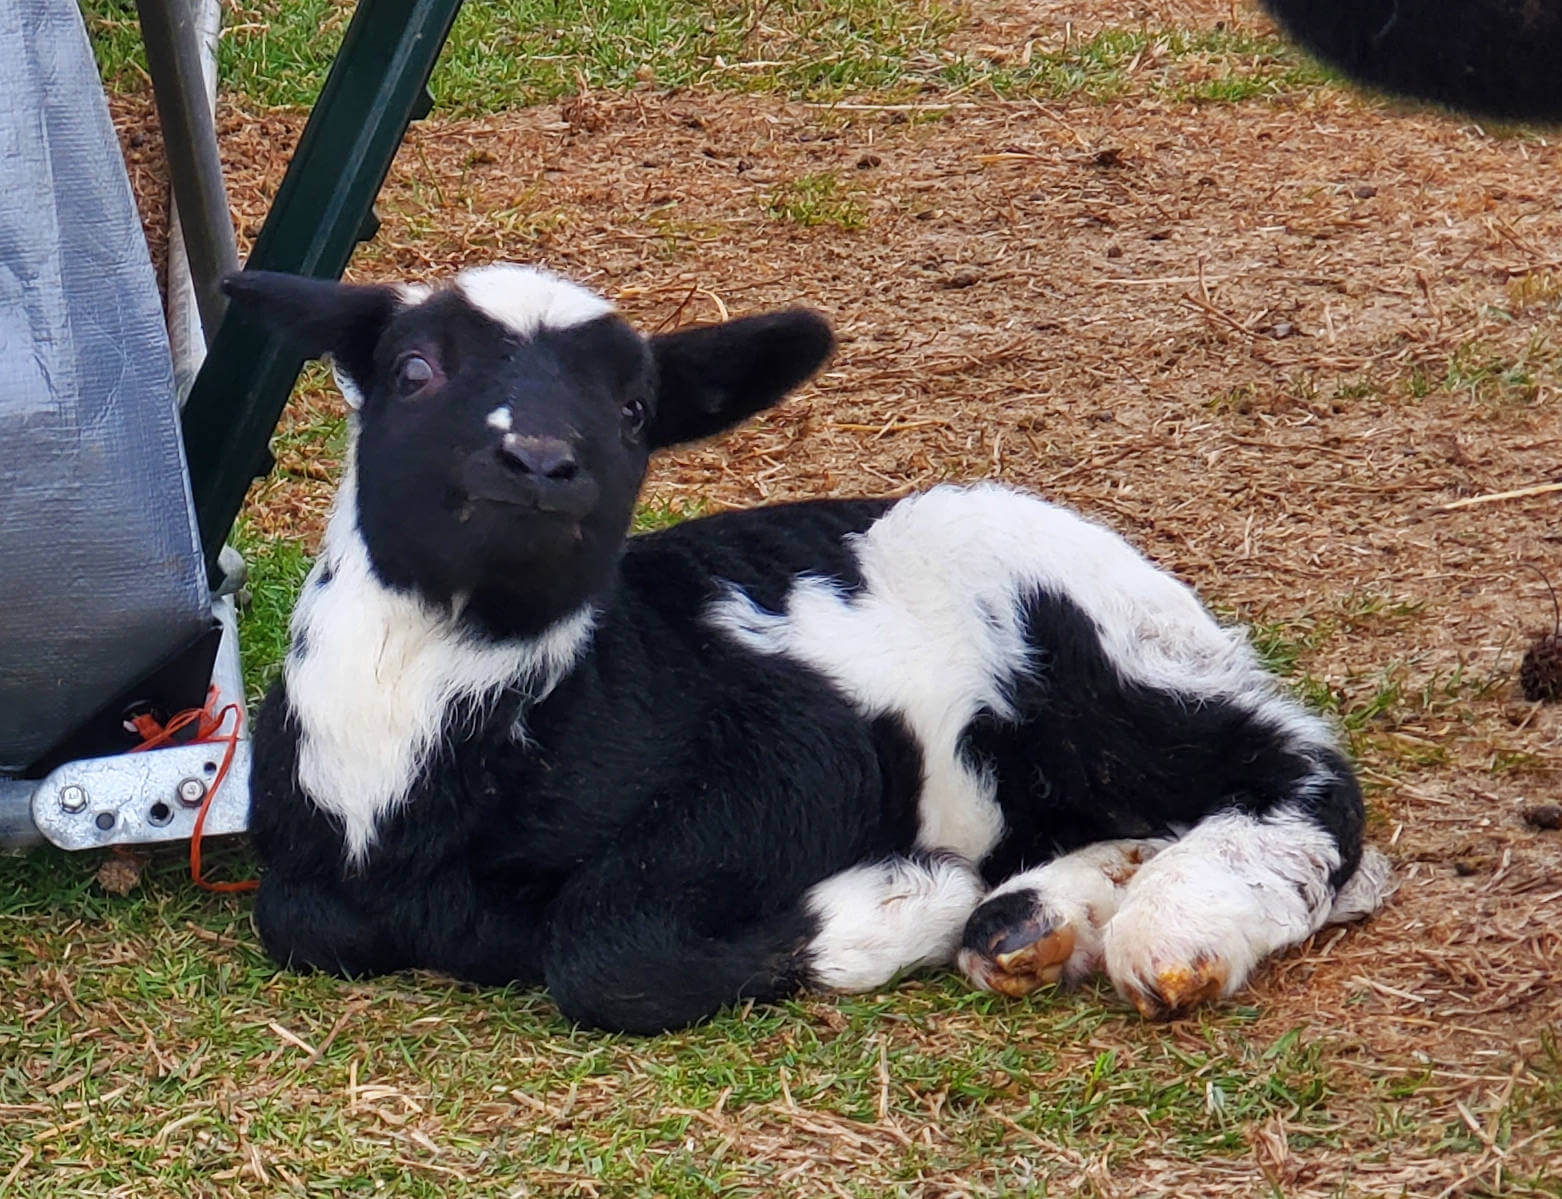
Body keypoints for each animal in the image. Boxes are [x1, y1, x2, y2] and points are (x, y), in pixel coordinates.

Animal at [229, 264, 1391, 1034]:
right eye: (415, 370)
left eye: (636, 408)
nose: (543, 462)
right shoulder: (306, 884)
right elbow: (302, 919)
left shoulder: (792, 756)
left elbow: (606, 952)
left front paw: (904, 899)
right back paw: (1042, 914)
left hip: (1089, 655)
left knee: (1299, 773)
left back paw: (1174, 925)